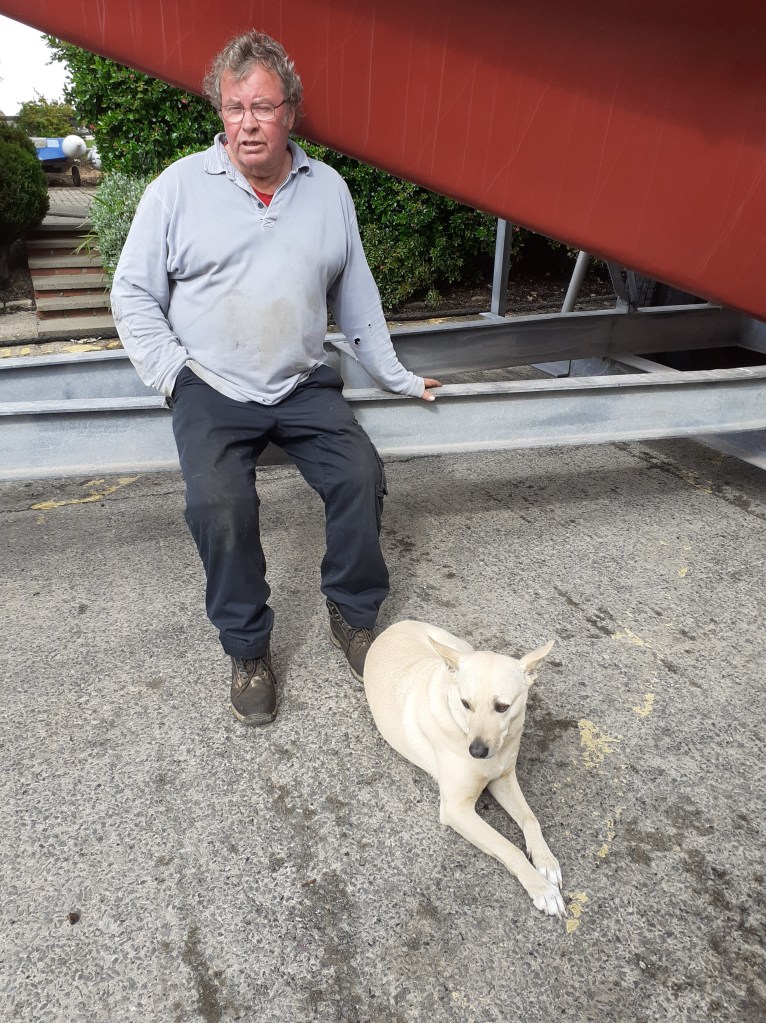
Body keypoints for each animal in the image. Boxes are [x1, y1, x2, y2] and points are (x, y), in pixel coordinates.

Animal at [363, 620, 565, 917]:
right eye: (465, 703)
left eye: (502, 706)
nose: (477, 752)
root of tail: (397, 624)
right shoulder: (457, 809)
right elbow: (508, 848)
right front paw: (542, 889)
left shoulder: (504, 778)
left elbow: (530, 818)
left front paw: (546, 860)